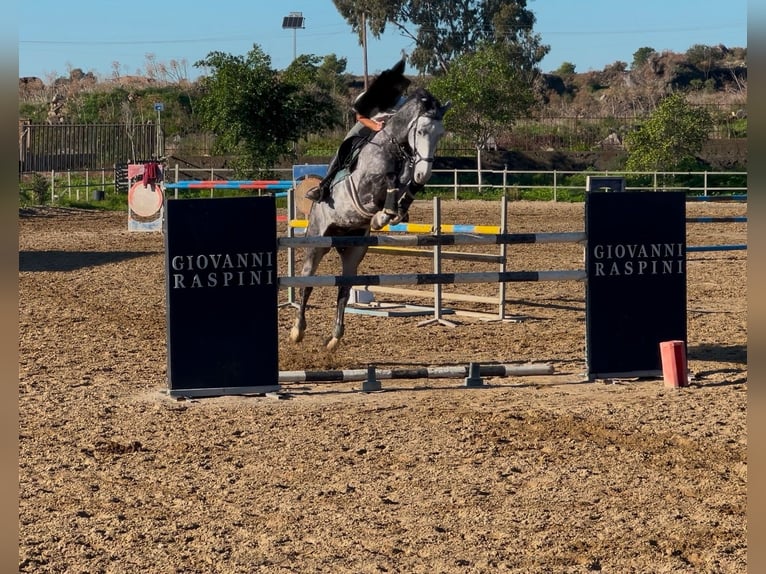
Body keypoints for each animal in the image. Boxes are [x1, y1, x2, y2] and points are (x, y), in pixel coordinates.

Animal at [292, 86, 452, 352]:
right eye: (420, 131)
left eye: (440, 135)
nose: (424, 172)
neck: (395, 148)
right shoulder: (364, 187)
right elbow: (388, 180)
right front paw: (382, 216)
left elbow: (407, 187)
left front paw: (397, 211)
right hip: (317, 242)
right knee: (307, 283)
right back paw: (297, 331)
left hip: (354, 250)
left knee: (343, 289)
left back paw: (335, 338)